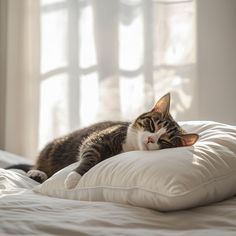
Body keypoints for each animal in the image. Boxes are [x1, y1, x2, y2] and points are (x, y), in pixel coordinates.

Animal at [24, 93, 198, 189]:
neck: (130, 147)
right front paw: (74, 177)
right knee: (37, 165)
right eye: (152, 125)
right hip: (53, 149)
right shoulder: (100, 138)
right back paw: (36, 172)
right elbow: (89, 156)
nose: (150, 139)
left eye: (165, 142)